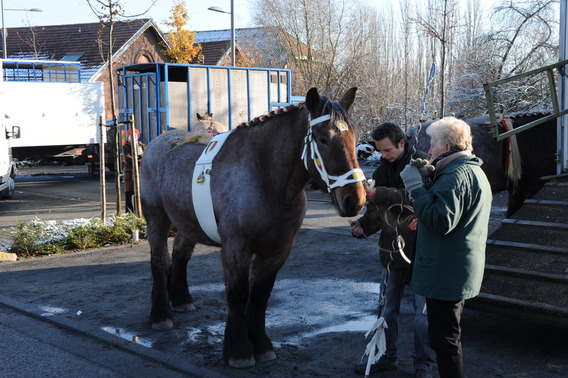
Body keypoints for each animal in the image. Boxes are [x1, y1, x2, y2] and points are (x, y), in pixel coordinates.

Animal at [140, 88, 366, 366]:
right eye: (323, 139)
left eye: (355, 137)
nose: (355, 199)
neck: (265, 177)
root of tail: (157, 142)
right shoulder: (236, 248)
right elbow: (238, 295)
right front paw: (239, 350)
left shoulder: (278, 250)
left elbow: (259, 296)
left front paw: (261, 344)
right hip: (156, 217)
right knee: (159, 259)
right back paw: (161, 314)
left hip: (186, 221)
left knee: (181, 253)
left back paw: (181, 298)